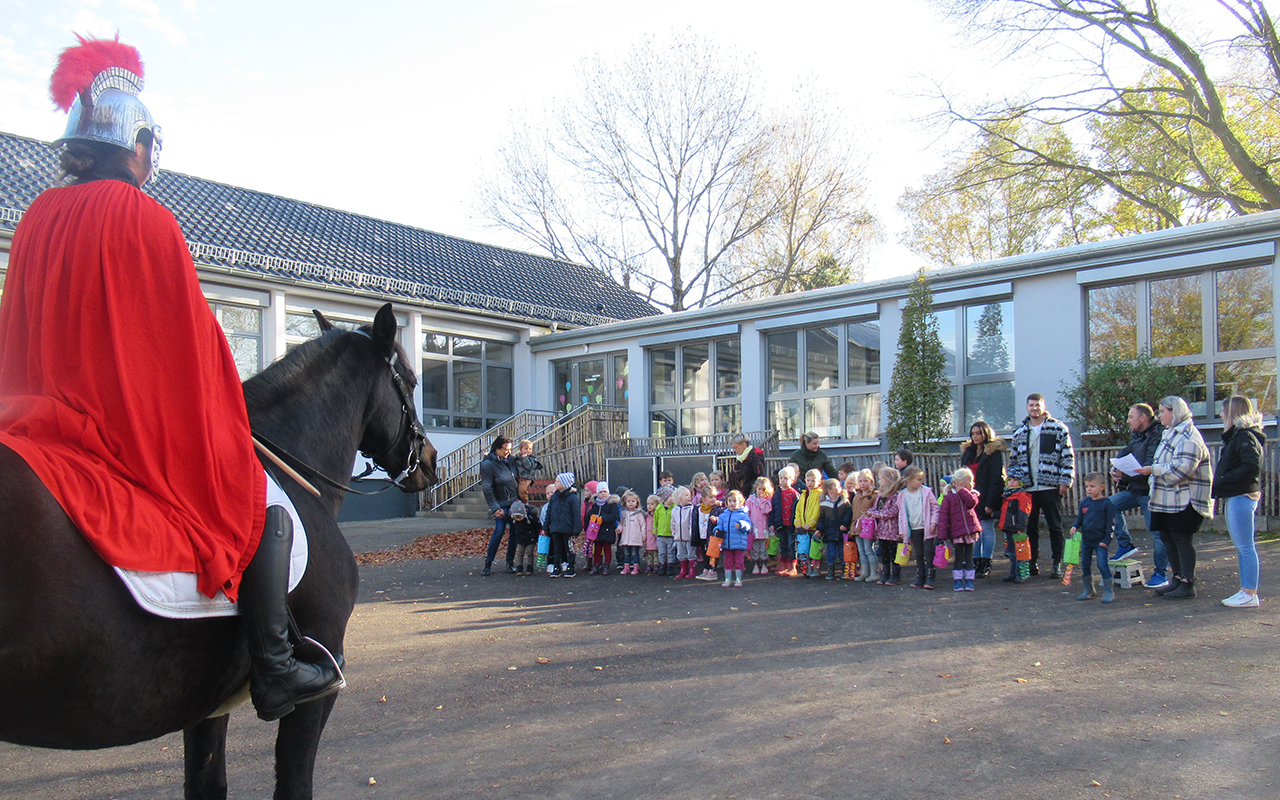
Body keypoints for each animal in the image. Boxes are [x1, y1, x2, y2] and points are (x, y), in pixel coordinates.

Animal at [0, 302, 435, 793]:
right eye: (411, 380)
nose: (430, 460)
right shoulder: (319, 674)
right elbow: (294, 781)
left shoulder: (206, 708)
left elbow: (208, 782)